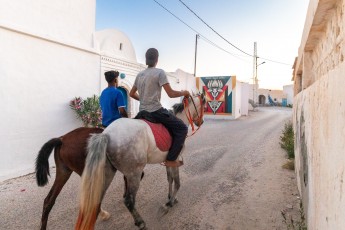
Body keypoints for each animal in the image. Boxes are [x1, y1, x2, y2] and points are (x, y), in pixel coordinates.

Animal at [75, 94, 204, 230]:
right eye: (204, 105)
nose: (201, 122)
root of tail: (106, 135)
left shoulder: (169, 160)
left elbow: (170, 179)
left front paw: (171, 198)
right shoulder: (176, 158)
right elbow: (177, 182)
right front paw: (169, 204)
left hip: (107, 172)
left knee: (97, 199)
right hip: (134, 174)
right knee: (129, 201)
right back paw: (140, 222)